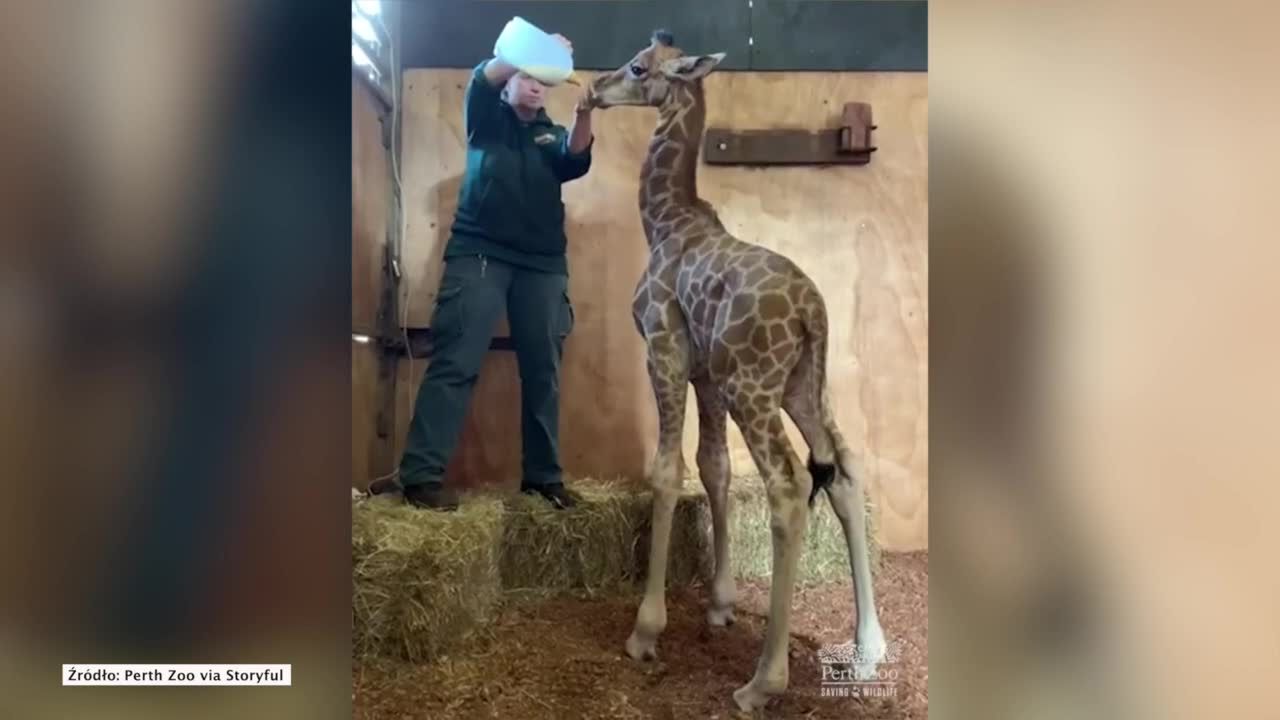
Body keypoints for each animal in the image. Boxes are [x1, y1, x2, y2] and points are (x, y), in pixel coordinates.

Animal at [583, 30, 890, 707]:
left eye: (638, 68)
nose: (593, 90)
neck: (665, 222)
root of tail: (812, 314)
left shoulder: (665, 350)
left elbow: (668, 472)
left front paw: (646, 632)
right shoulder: (707, 374)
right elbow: (714, 468)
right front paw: (720, 604)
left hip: (756, 388)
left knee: (790, 487)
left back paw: (762, 682)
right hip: (804, 386)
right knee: (845, 469)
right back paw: (867, 650)